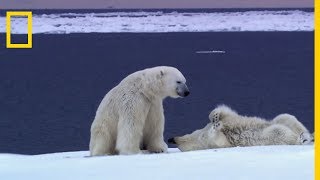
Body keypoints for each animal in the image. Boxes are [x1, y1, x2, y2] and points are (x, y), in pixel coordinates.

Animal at [169, 105, 314, 151]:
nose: (172, 138)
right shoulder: (217, 143)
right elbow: (220, 140)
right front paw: (216, 126)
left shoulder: (229, 120)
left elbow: (222, 113)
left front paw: (215, 118)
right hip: (267, 137)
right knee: (278, 131)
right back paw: (303, 139)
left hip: (276, 121)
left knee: (286, 117)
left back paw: (307, 136)